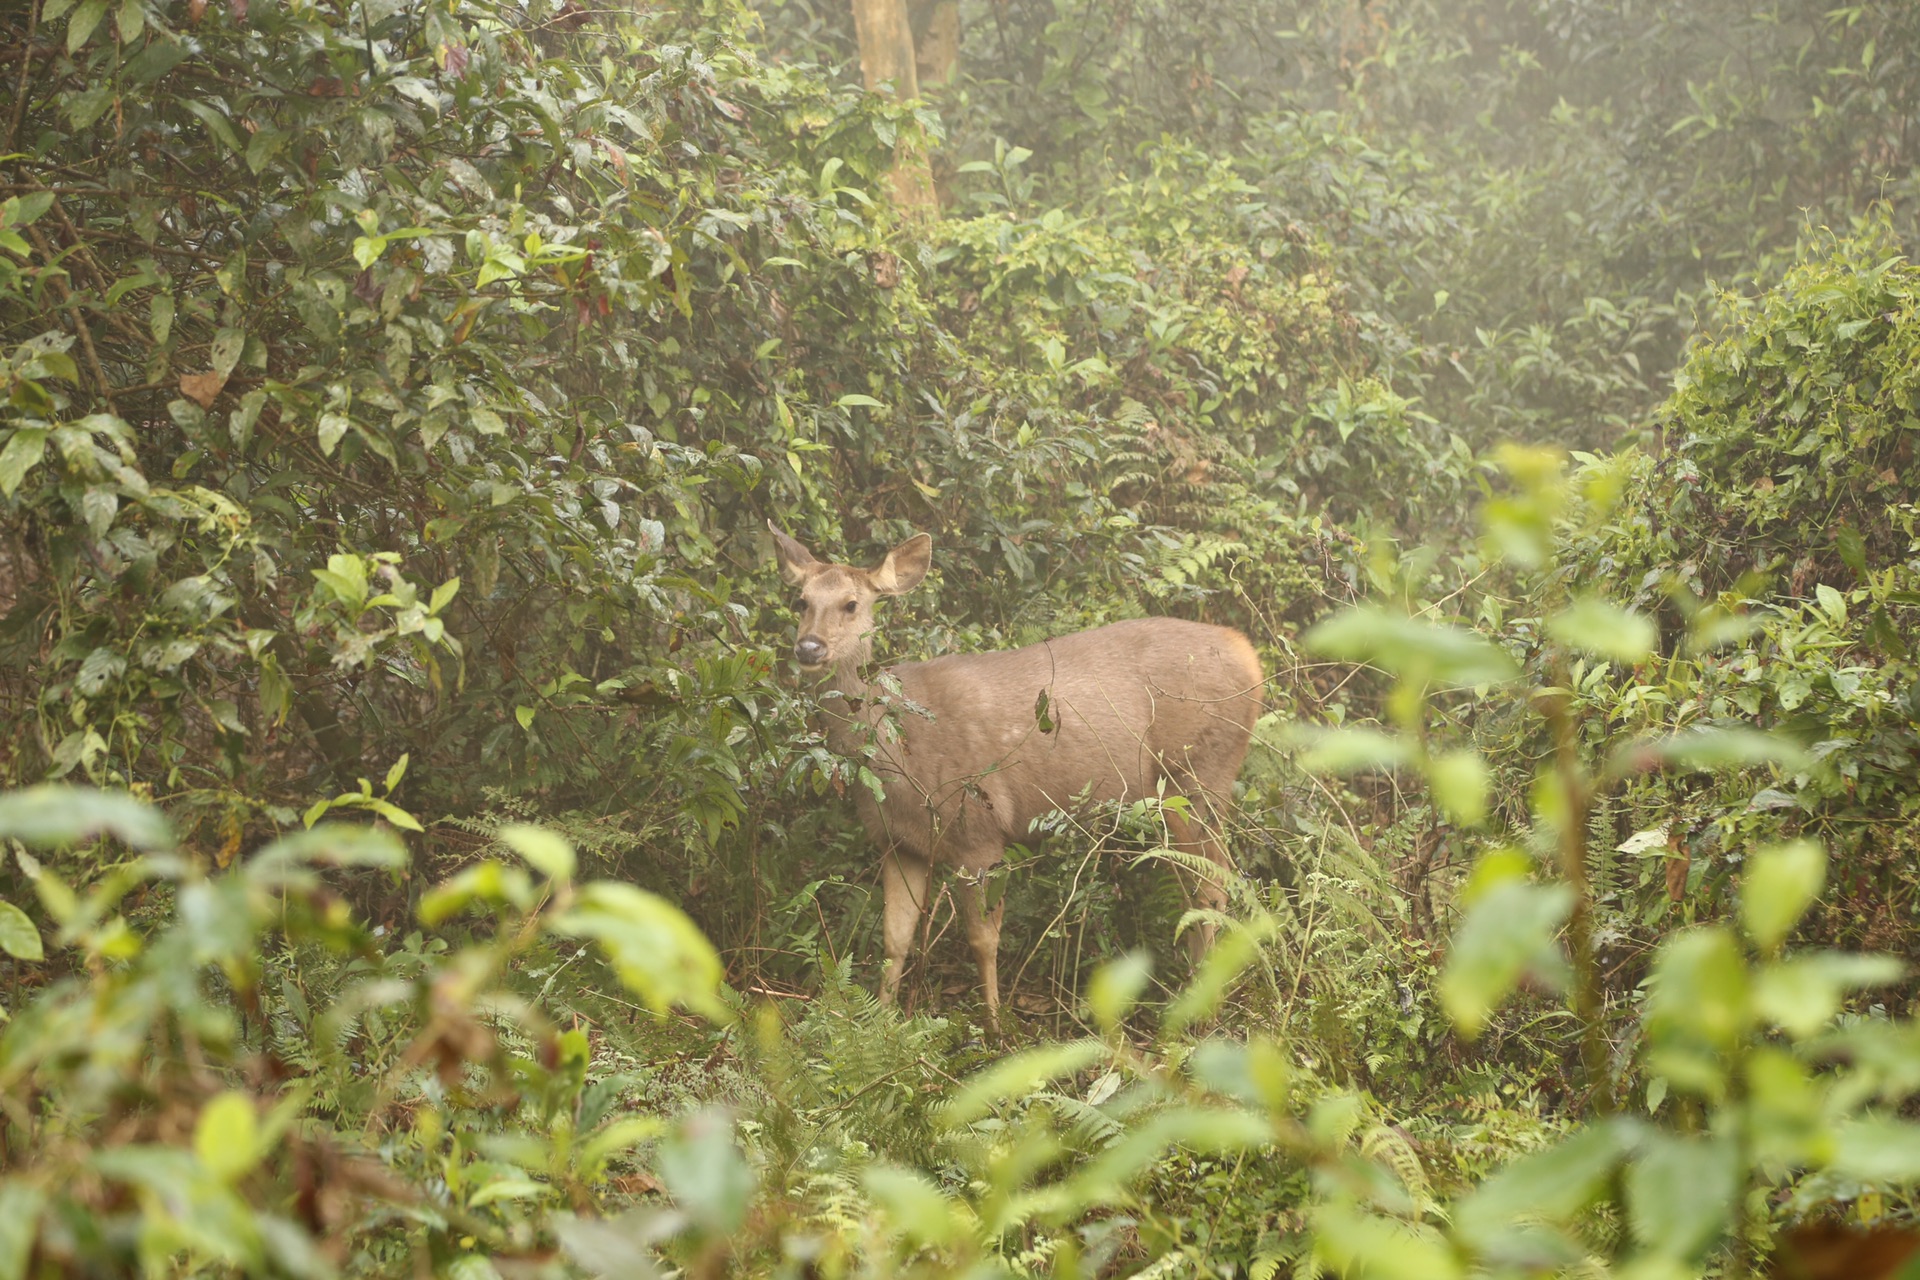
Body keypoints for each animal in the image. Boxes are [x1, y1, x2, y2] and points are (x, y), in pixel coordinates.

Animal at [764, 521, 1259, 1028]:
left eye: (851, 604)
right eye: (801, 600)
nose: (809, 647)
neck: (898, 753)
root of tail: (1248, 653)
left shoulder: (979, 830)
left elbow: (983, 940)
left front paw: (995, 1026)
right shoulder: (899, 842)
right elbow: (895, 939)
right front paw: (881, 1021)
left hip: (1198, 772)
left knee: (1210, 888)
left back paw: (1202, 1008)